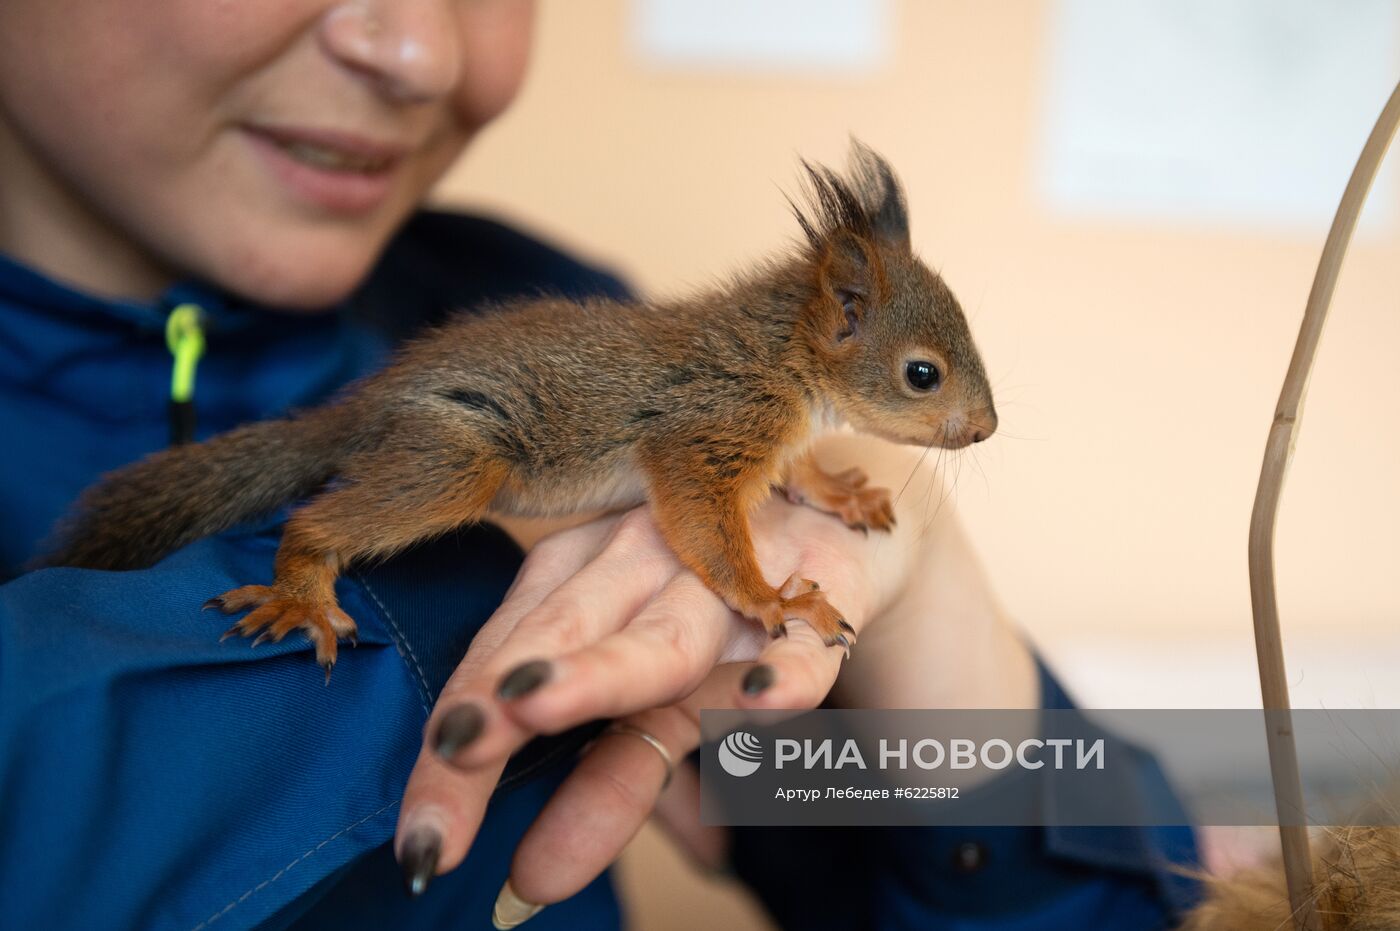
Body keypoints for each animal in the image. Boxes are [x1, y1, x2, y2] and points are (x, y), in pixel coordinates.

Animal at [40, 141, 996, 672]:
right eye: (923, 374)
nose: (986, 429)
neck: (785, 361)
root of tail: (366, 406)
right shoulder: (706, 430)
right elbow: (703, 524)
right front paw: (772, 599)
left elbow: (801, 472)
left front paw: (842, 491)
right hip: (460, 456)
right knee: (316, 521)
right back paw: (304, 591)